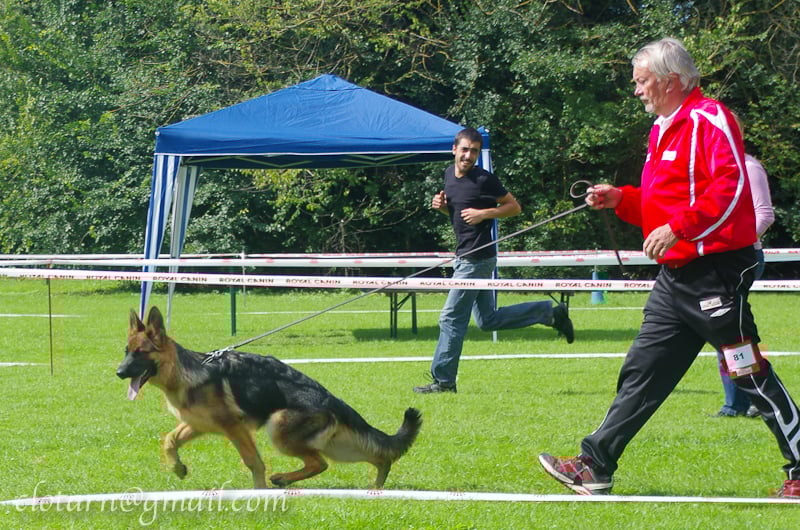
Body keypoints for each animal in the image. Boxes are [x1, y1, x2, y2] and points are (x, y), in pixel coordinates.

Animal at [116, 306, 422, 489]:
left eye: (141, 353)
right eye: (126, 351)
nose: (118, 373)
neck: (185, 373)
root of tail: (329, 398)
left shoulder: (235, 428)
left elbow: (254, 462)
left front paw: (259, 491)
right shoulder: (198, 425)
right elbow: (169, 440)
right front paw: (177, 467)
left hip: (279, 429)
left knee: (319, 462)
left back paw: (283, 479)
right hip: (338, 445)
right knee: (376, 456)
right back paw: (376, 486)